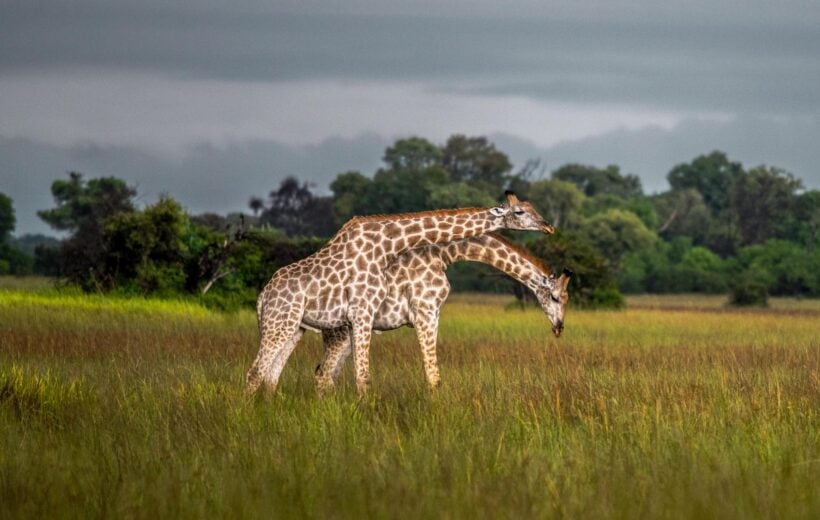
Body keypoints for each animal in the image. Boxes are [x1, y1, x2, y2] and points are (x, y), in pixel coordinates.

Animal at [318, 234, 572, 392]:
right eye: (555, 297)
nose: (559, 327)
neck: (443, 254)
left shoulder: (434, 314)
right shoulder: (424, 312)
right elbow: (432, 374)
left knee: (325, 374)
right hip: (341, 332)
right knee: (324, 374)